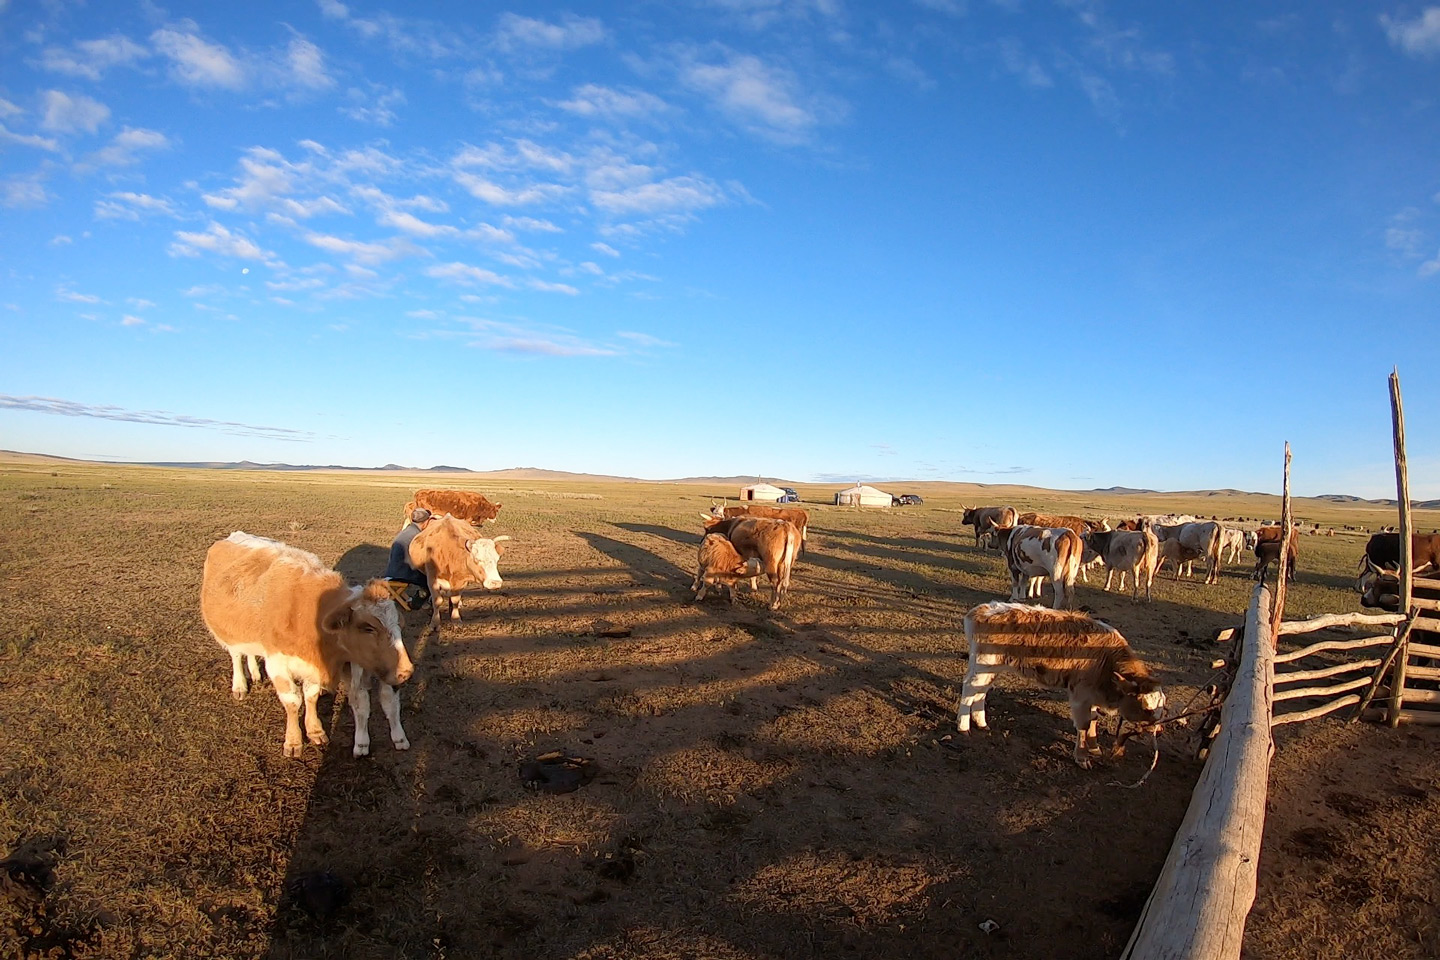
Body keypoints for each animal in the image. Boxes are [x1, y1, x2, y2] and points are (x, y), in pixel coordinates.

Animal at [198, 532, 411, 759]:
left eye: (398, 623)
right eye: (368, 627)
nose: (407, 671)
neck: (304, 612)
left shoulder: (314, 664)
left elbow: (311, 695)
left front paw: (315, 730)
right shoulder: (278, 664)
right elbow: (293, 701)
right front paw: (293, 741)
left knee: (250, 653)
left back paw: (254, 673)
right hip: (229, 633)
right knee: (237, 655)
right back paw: (239, 684)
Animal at [956, 604, 1169, 771]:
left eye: (1163, 704)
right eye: (1146, 708)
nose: (1159, 731)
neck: (1107, 660)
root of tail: (982, 610)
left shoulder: (1091, 694)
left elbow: (1093, 720)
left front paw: (1094, 747)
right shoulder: (1081, 694)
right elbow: (1083, 725)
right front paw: (1082, 758)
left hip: (991, 667)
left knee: (981, 692)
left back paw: (981, 723)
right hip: (985, 663)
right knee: (969, 689)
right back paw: (963, 726)